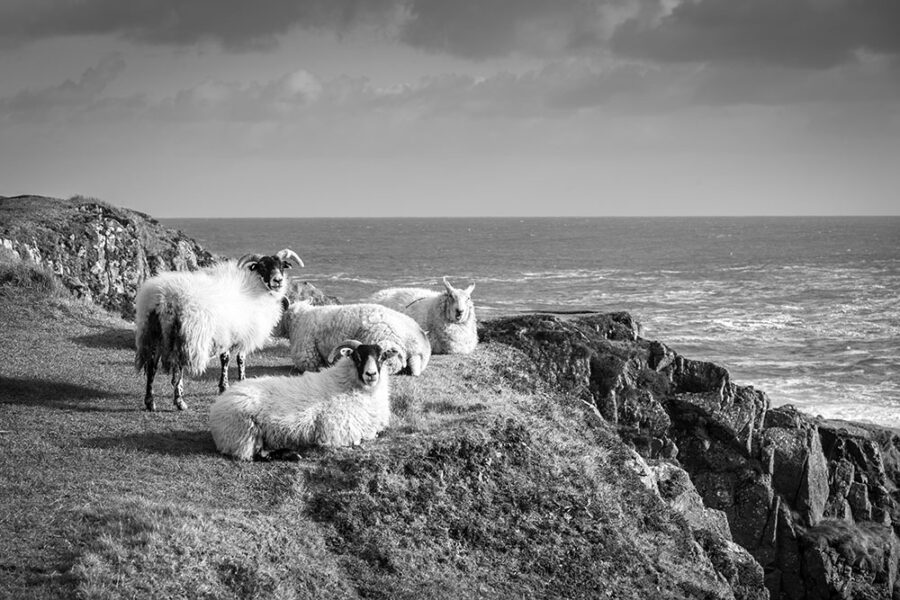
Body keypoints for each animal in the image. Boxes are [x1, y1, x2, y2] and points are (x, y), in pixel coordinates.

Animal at [133, 248, 302, 412]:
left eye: (281, 266)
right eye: (263, 267)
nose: (278, 280)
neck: (256, 287)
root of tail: (164, 297)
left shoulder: (227, 333)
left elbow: (226, 358)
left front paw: (224, 386)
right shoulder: (240, 332)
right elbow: (237, 359)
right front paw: (235, 383)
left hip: (152, 333)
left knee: (152, 367)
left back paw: (150, 402)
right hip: (187, 336)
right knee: (178, 369)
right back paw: (180, 402)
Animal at [209, 340, 400, 462]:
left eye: (381, 357)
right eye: (358, 358)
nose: (371, 374)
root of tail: (219, 404)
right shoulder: (336, 433)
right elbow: (362, 439)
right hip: (244, 433)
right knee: (253, 455)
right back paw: (292, 455)